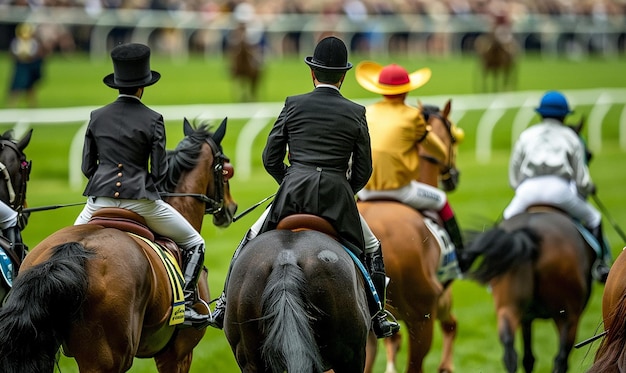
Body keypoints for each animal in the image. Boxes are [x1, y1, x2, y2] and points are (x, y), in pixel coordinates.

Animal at [460, 206, 592, 372]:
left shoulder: (525, 317)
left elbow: (528, 358)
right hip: (567, 315)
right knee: (561, 359)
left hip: (508, 307)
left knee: (510, 352)